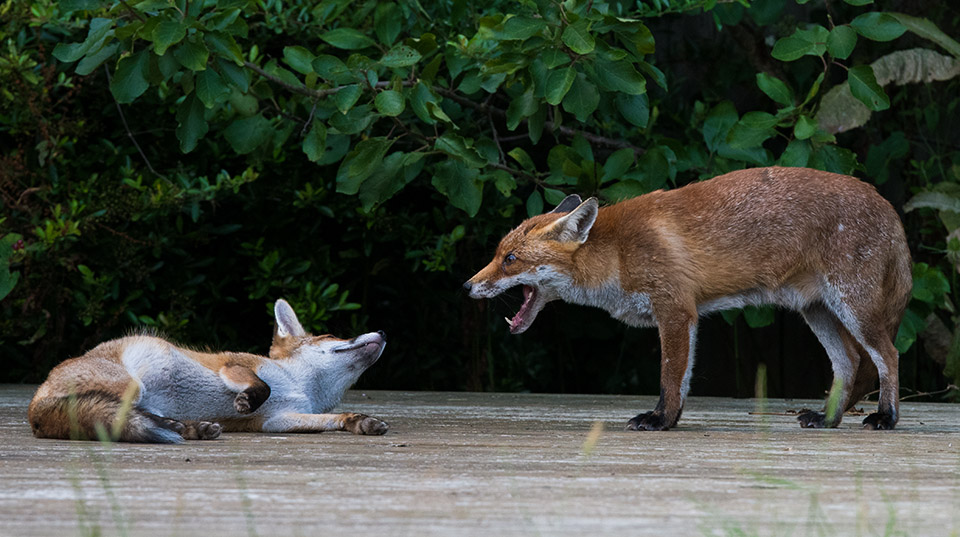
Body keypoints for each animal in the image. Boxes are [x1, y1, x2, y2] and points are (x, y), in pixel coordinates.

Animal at [30, 300, 390, 442]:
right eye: (331, 336)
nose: (384, 332)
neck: (299, 385)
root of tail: (35, 408)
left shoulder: (279, 419)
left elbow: (333, 419)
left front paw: (359, 422)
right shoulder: (236, 365)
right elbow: (261, 387)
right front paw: (246, 400)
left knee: (135, 420)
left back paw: (191, 429)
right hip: (132, 383)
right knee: (126, 417)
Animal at [468, 165, 912, 430]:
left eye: (510, 260)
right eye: (497, 255)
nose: (467, 286)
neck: (617, 253)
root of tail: (887, 205)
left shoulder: (676, 310)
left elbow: (670, 377)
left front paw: (660, 421)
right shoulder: (687, 315)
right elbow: (680, 381)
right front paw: (670, 419)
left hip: (854, 309)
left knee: (888, 356)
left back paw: (886, 417)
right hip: (818, 311)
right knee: (850, 361)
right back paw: (828, 419)